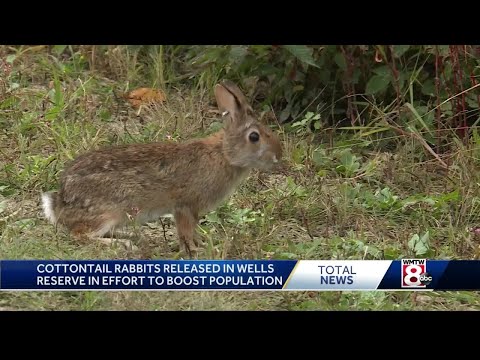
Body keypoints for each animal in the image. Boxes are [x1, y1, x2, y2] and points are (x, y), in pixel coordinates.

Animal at [41, 80, 284, 258]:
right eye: (254, 137)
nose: (278, 156)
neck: (224, 154)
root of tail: (60, 202)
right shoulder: (185, 206)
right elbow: (186, 231)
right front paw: (195, 250)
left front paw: (203, 245)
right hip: (107, 211)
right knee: (80, 235)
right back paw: (123, 245)